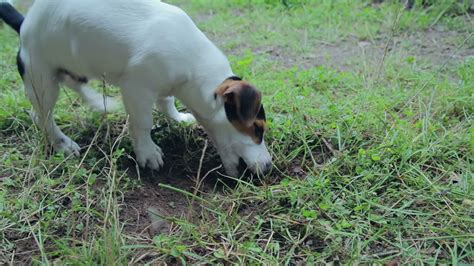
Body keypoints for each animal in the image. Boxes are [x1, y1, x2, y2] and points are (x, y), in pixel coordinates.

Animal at [0, 0, 272, 177]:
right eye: (257, 129)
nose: (270, 167)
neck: (194, 67)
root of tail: (25, 23)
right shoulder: (137, 88)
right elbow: (143, 124)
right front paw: (147, 152)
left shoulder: (165, 86)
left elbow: (167, 102)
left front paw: (178, 118)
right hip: (42, 79)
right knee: (41, 116)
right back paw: (61, 143)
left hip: (70, 69)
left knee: (75, 85)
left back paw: (98, 102)